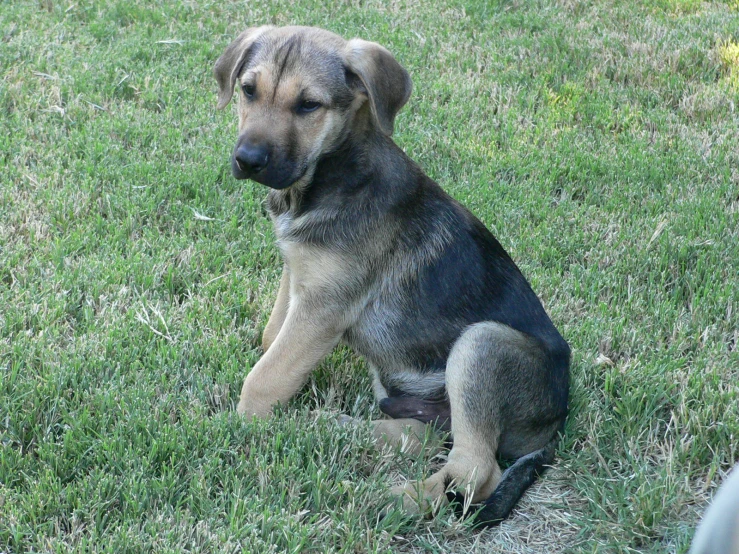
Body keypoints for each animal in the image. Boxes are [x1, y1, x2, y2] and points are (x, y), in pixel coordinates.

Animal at [214, 27, 572, 528]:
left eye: (309, 105)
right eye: (248, 90)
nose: (248, 160)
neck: (330, 175)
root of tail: (557, 424)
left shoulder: (322, 308)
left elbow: (266, 376)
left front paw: (240, 427)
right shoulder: (298, 274)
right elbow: (271, 341)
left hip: (483, 345)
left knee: (476, 472)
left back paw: (386, 500)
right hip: (407, 390)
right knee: (428, 438)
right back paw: (332, 427)